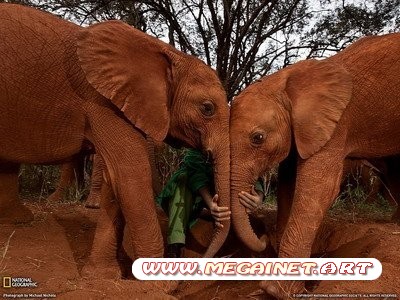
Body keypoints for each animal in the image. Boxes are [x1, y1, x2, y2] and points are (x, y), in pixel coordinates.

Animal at [228, 33, 400, 298]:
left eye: (258, 138)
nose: (251, 195)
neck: (287, 81)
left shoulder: (337, 123)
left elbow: (318, 188)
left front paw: (276, 291)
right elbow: (289, 185)